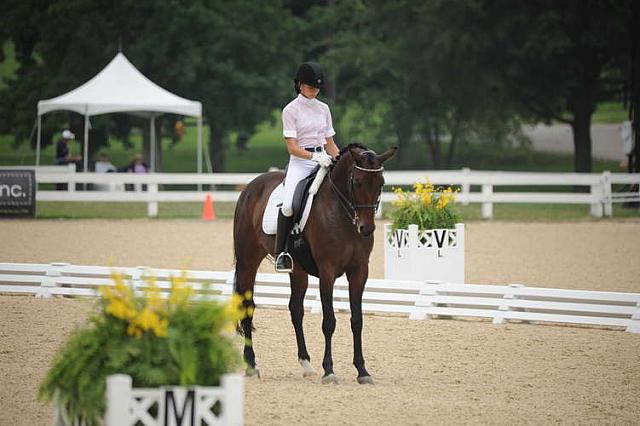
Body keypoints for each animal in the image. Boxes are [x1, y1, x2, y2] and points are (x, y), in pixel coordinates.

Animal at [232, 142, 398, 382]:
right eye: (357, 181)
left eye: (381, 183)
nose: (366, 228)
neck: (342, 213)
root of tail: (251, 187)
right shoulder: (327, 271)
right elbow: (329, 321)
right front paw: (329, 370)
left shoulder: (359, 272)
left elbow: (357, 320)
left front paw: (362, 371)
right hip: (248, 262)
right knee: (248, 307)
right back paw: (252, 365)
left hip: (298, 270)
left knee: (295, 309)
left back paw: (306, 364)